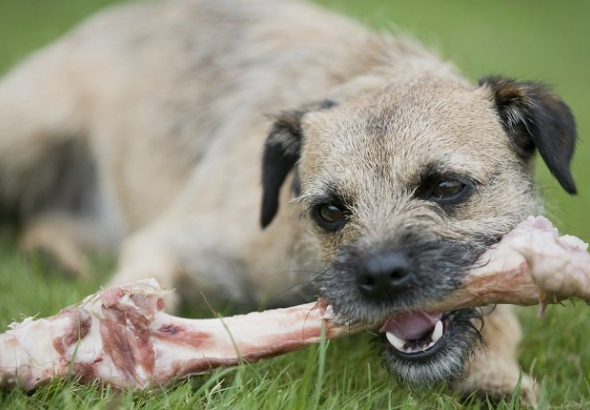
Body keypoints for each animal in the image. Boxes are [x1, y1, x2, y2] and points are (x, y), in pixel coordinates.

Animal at [0, 0, 580, 404]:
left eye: (446, 188)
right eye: (330, 211)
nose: (380, 275)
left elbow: (501, 320)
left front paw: (494, 377)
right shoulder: (174, 239)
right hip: (28, 130)